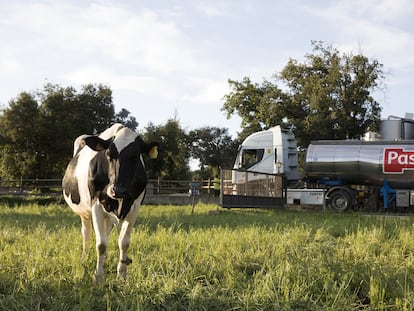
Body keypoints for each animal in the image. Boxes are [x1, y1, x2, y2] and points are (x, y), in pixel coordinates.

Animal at [62, 124, 159, 282]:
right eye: (108, 154)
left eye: (135, 156)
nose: (118, 190)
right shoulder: (96, 206)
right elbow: (101, 244)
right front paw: (99, 277)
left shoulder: (134, 208)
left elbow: (124, 243)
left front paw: (122, 274)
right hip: (84, 213)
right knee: (86, 233)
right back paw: (85, 258)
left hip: (108, 217)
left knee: (105, 232)